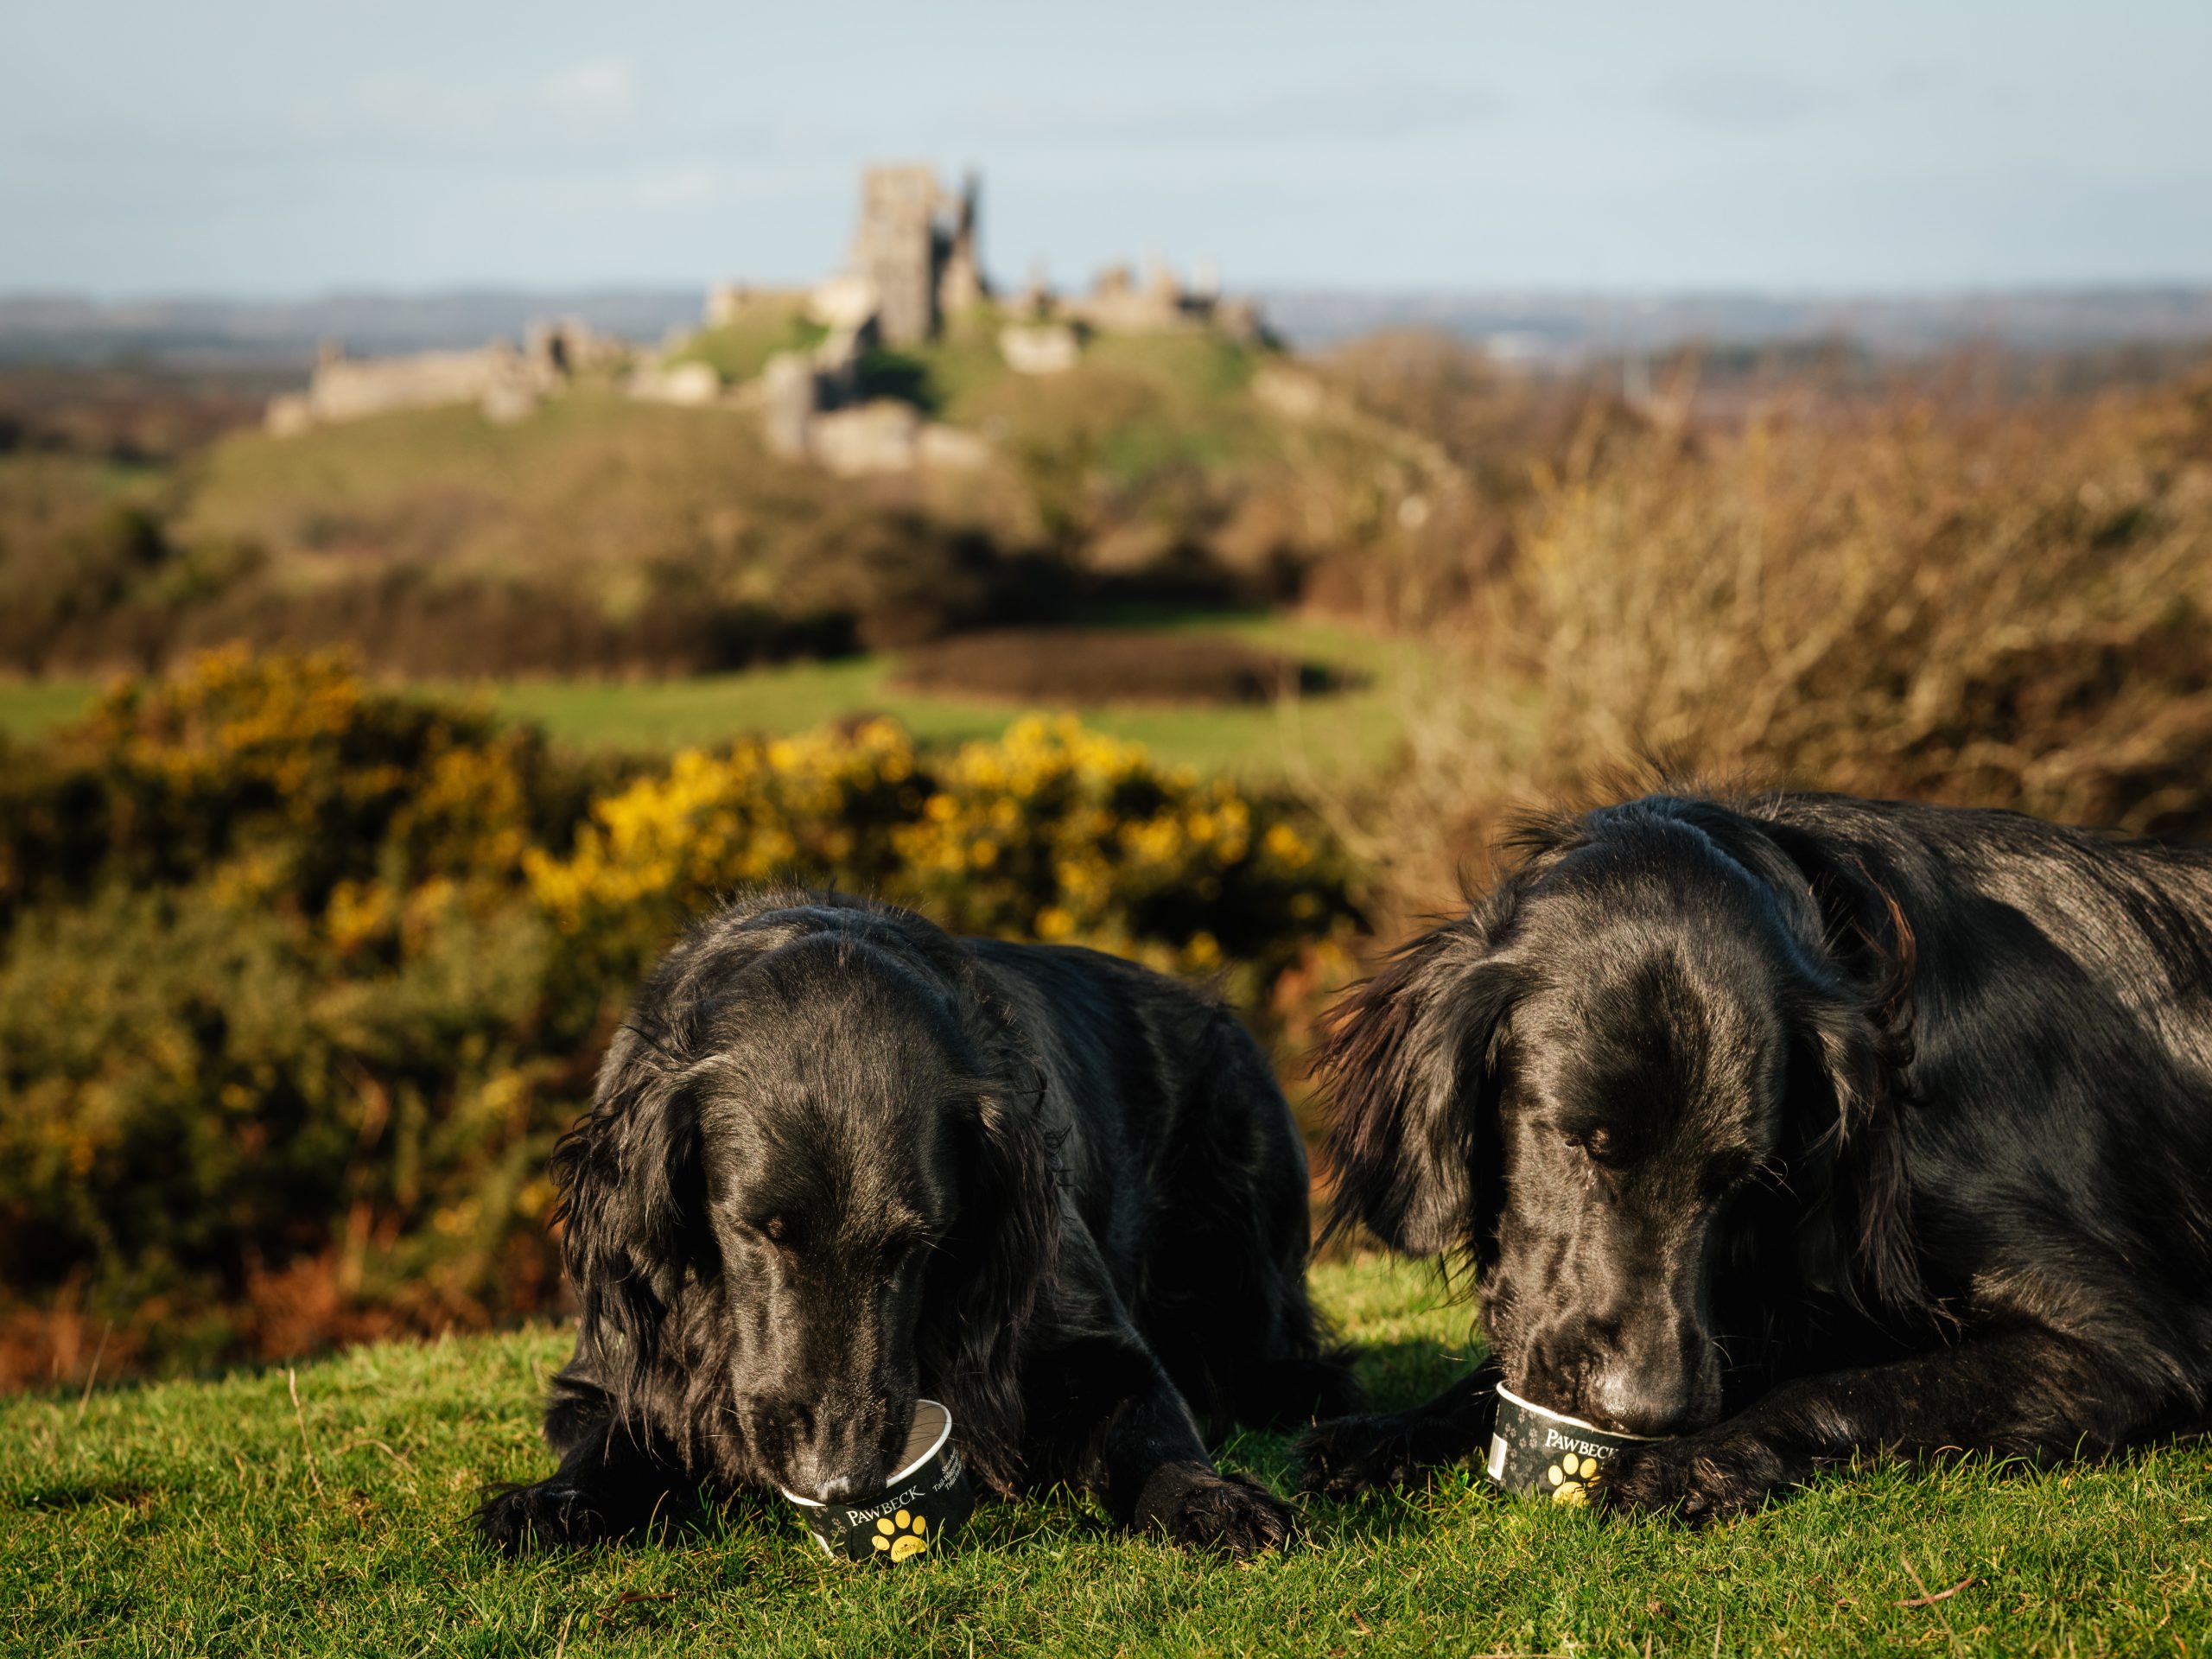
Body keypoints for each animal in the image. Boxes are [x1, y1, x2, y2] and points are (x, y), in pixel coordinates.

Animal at [475, 898, 1353, 1557]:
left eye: (918, 1244)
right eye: (760, 1229)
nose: (842, 1480)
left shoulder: (1095, 1345)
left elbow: (1151, 1430)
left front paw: (1210, 1499)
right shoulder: (609, 1370)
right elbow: (613, 1439)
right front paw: (550, 1501)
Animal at [1292, 800, 2212, 1530]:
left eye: (1741, 1177)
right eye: (1581, 1141)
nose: (1646, 1410)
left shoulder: (2129, 1347)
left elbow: (1851, 1388)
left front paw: (1689, 1460)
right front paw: (1393, 1432)